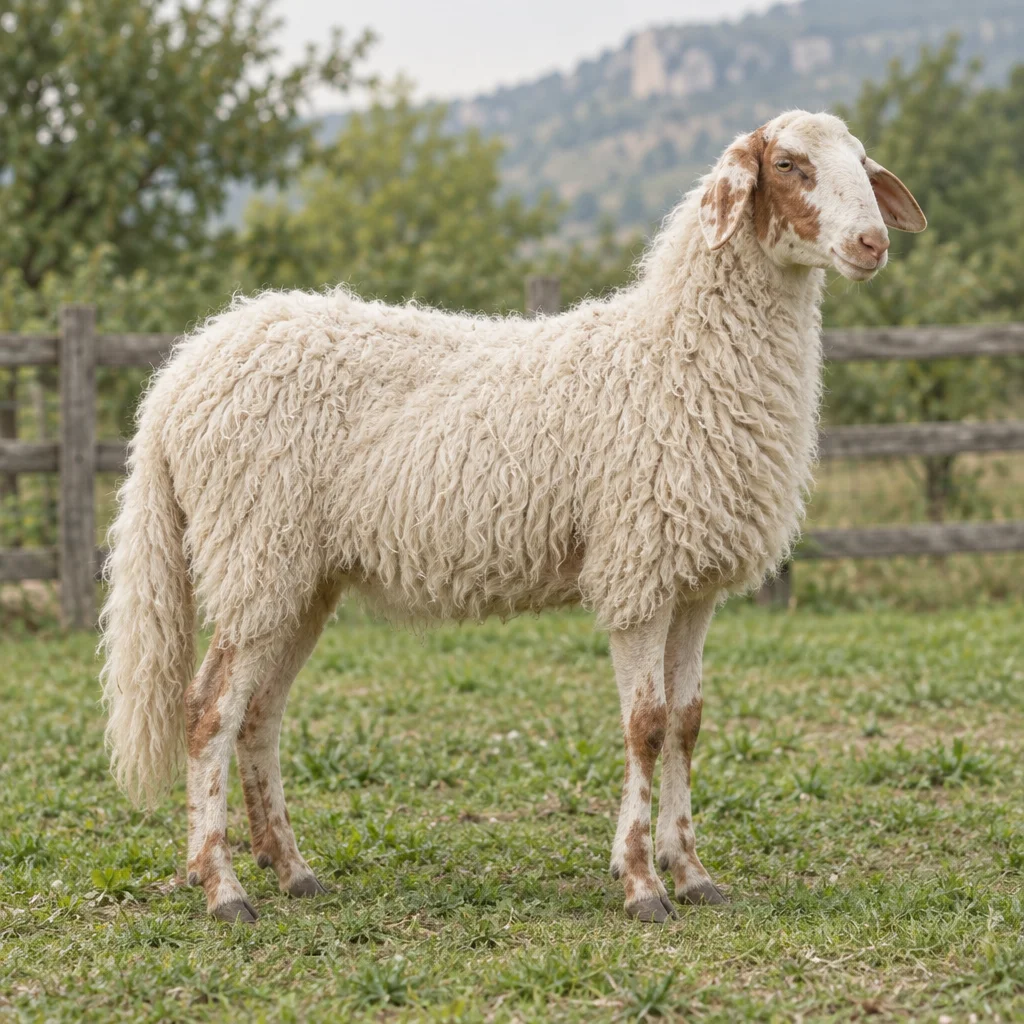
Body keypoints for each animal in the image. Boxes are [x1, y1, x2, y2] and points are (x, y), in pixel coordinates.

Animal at [100, 110, 926, 925]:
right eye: (788, 165)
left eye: (861, 162)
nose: (872, 244)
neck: (675, 353)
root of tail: (179, 376)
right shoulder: (636, 567)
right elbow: (647, 726)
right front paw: (642, 884)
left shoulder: (692, 579)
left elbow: (688, 724)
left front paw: (693, 872)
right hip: (253, 548)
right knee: (209, 711)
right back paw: (223, 887)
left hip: (298, 575)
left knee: (260, 714)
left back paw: (293, 869)